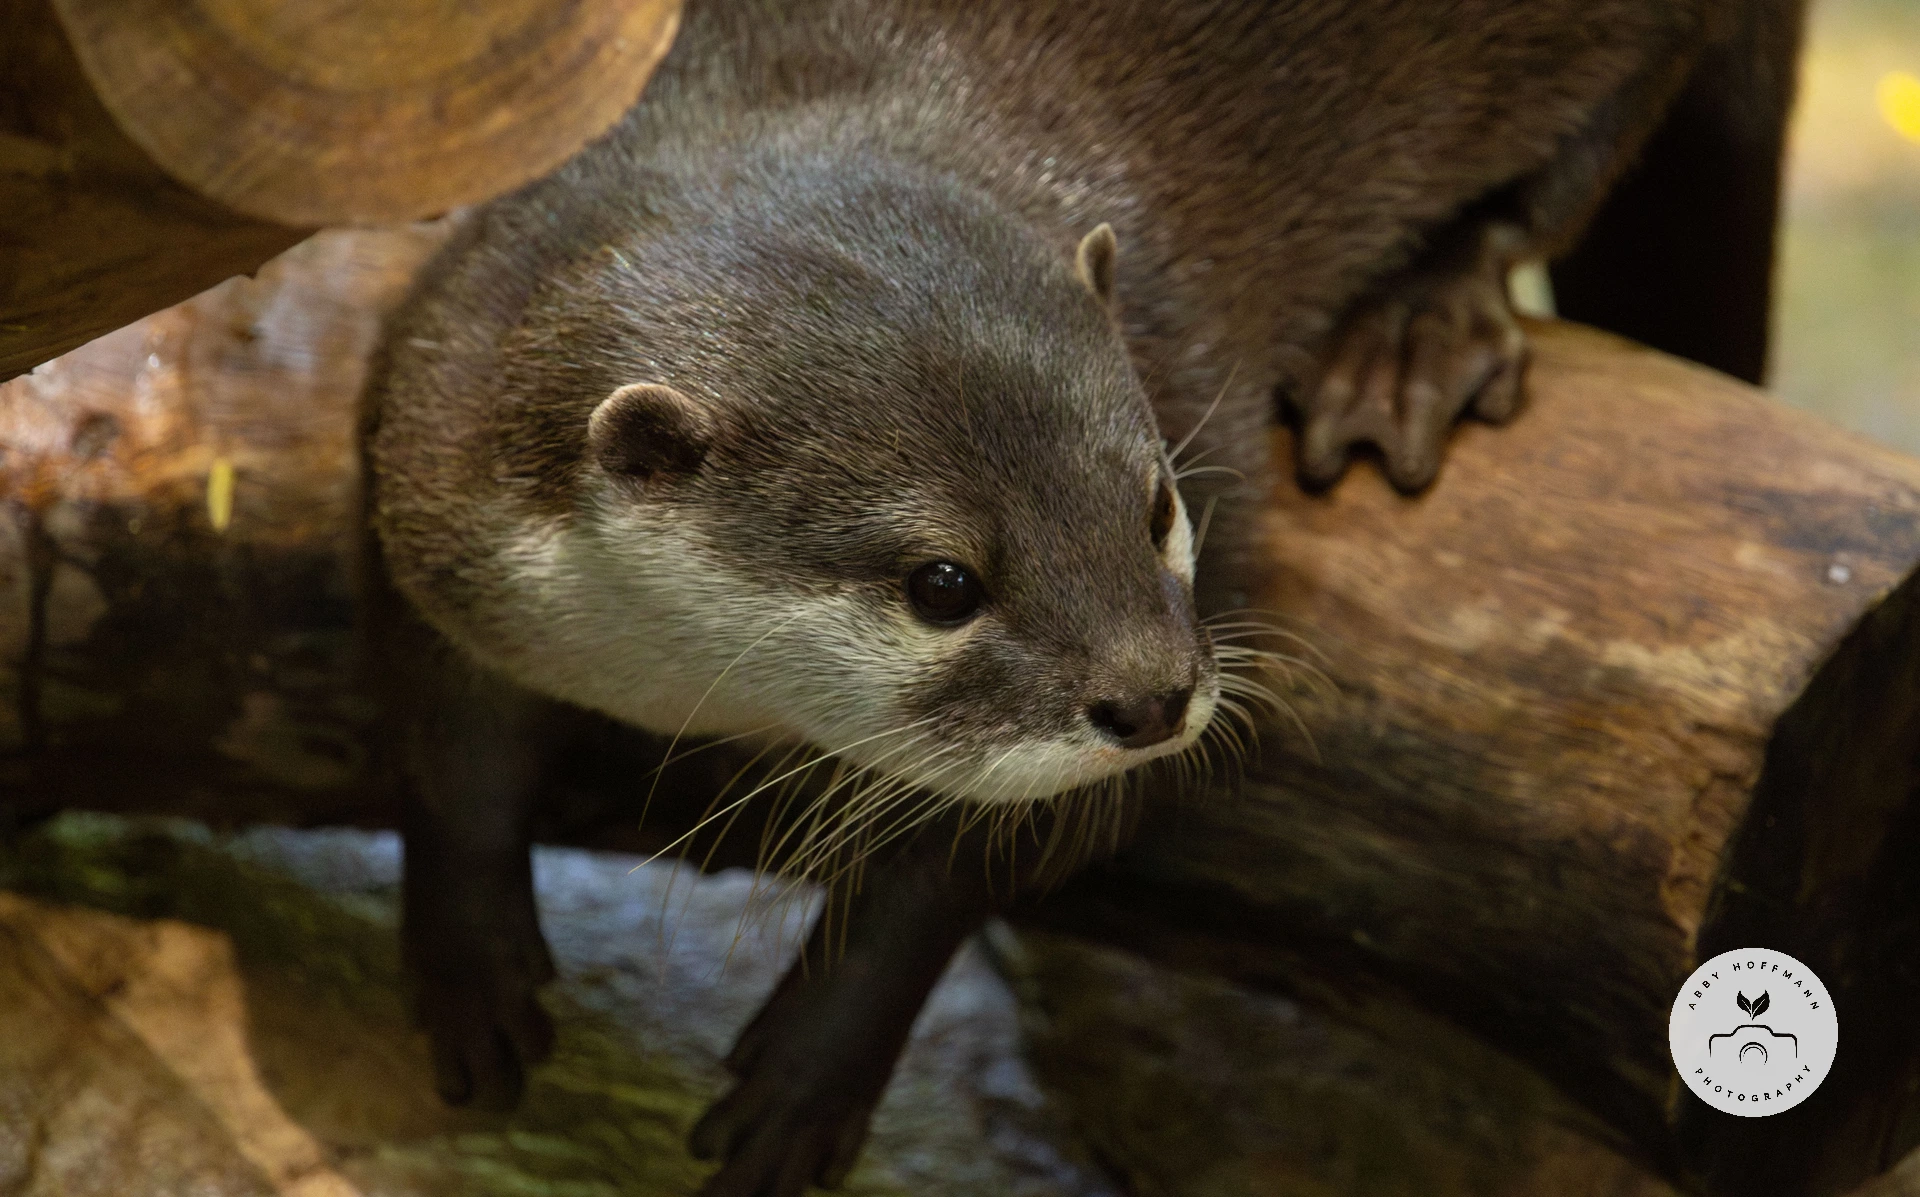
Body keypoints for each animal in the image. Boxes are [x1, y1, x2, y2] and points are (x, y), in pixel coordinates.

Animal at [362, 1, 1804, 1193]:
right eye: (944, 581)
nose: (1153, 696)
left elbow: (978, 861)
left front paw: (813, 1067)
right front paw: (468, 965)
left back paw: (1415, 328)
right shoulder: (431, 445)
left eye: (1156, 503)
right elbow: (446, 743)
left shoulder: (1194, 402)